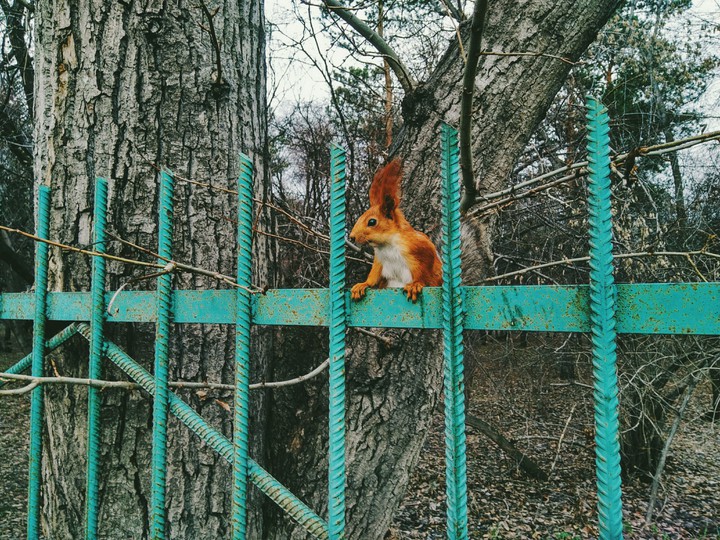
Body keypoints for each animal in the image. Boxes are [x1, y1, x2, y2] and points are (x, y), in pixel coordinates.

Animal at [349, 158, 443, 302]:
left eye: (372, 222)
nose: (352, 237)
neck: (387, 244)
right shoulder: (379, 261)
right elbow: (374, 277)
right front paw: (362, 284)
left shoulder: (422, 248)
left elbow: (424, 271)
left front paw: (416, 284)